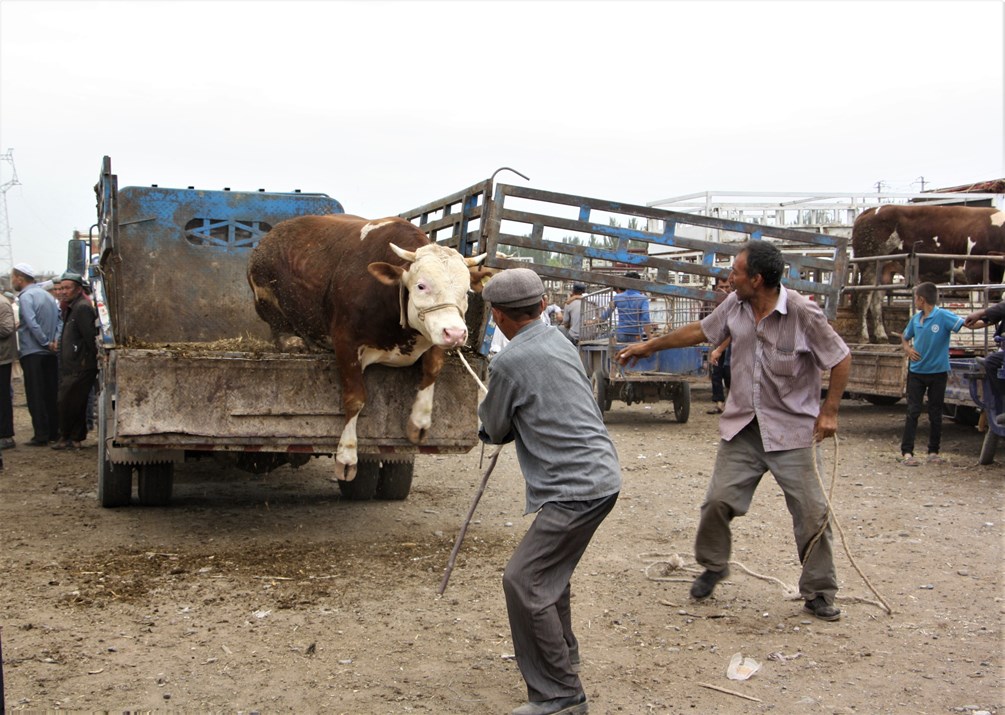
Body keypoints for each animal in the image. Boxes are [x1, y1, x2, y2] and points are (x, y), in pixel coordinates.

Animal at [249, 214, 488, 480]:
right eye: (421, 286)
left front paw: (419, 421)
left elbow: (433, 368)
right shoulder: (345, 343)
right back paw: (293, 341)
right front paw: (347, 455)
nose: (456, 334)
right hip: (264, 294)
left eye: (466, 291)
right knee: (277, 323)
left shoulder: (435, 332)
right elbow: (355, 398)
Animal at [848, 204, 1005, 343]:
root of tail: (870, 211)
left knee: (876, 301)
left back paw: (881, 336)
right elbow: (977, 302)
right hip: (870, 265)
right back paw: (864, 337)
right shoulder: (974, 273)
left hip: (885, 271)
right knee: (864, 299)